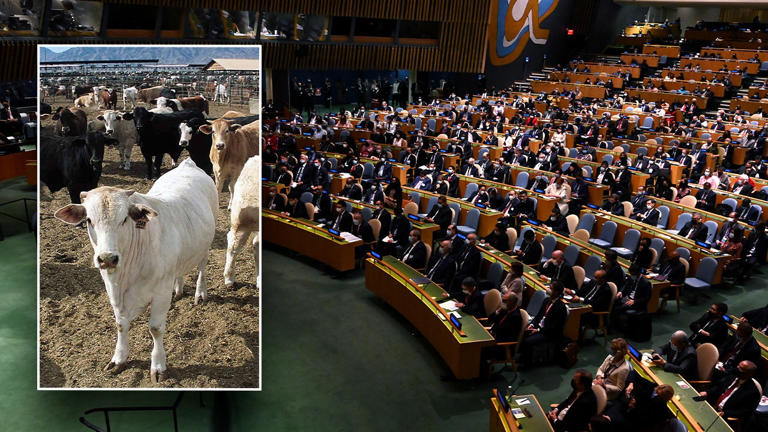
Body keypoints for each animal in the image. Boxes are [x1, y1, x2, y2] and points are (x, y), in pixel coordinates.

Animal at [53, 158, 219, 382]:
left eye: (124, 219)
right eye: (88, 220)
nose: (107, 258)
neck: (126, 276)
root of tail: (188, 164)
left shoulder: (160, 292)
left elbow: (155, 328)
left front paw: (158, 365)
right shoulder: (112, 289)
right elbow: (121, 324)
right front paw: (119, 358)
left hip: (206, 245)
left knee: (202, 268)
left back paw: (200, 293)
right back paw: (178, 289)